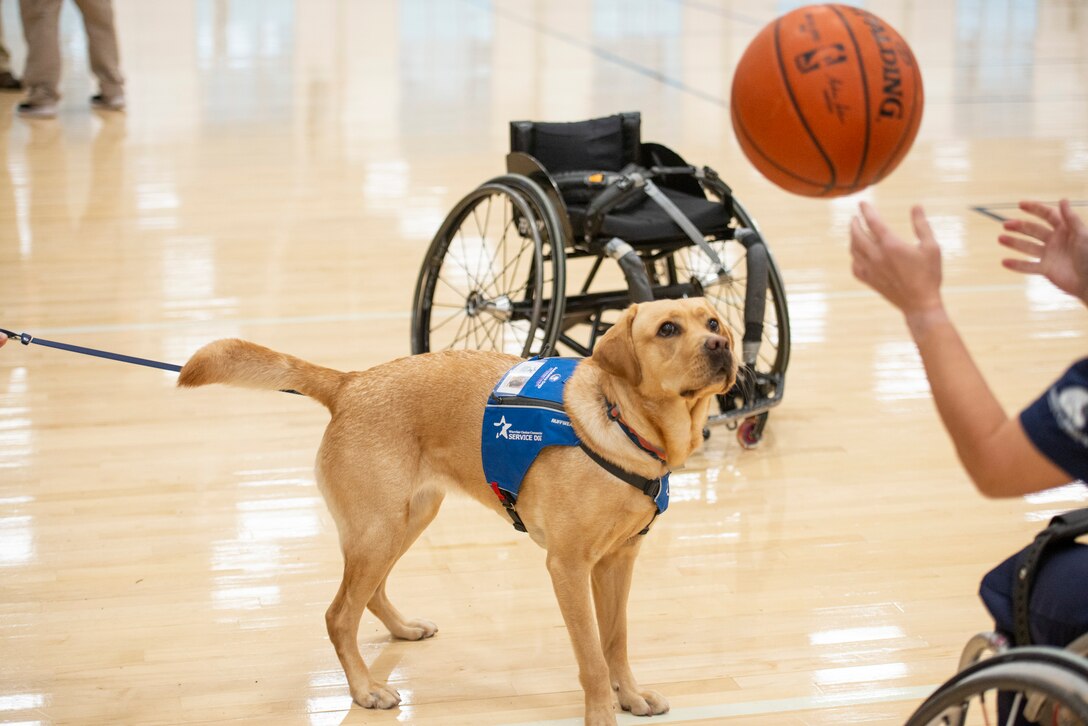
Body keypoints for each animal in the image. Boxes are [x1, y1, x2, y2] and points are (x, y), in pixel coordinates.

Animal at [178, 296, 739, 726]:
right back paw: (364, 690)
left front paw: (631, 696)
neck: (620, 421)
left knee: (369, 593)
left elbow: (616, 642)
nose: (722, 346)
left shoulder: (617, 563)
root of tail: (350, 382)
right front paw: (602, 714)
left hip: (405, 520)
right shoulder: (568, 567)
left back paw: (402, 630)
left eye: (711, 322)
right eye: (668, 329)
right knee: (339, 614)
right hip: (379, 529)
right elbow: (591, 658)